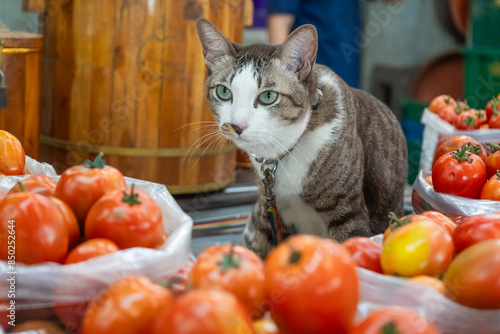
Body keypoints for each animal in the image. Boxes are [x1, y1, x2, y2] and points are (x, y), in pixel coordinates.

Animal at [195, 18, 406, 258]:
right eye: (223, 92)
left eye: (268, 96)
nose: (237, 125)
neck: (282, 150)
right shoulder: (269, 210)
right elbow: (261, 248)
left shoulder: (348, 212)